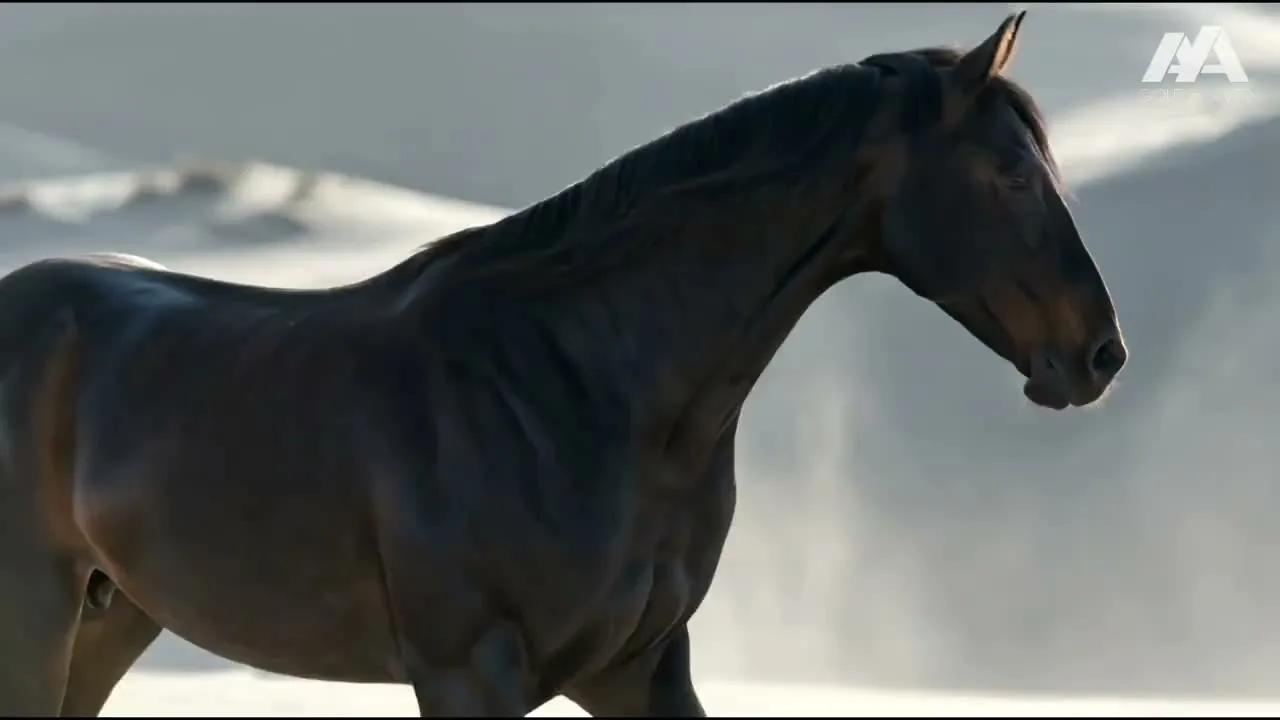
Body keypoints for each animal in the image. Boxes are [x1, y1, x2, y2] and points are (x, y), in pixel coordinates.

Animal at [0, 11, 1125, 717]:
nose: (1097, 354)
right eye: (1009, 174)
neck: (580, 391)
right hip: (37, 620)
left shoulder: (640, 669)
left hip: (110, 622)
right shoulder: (468, 673)